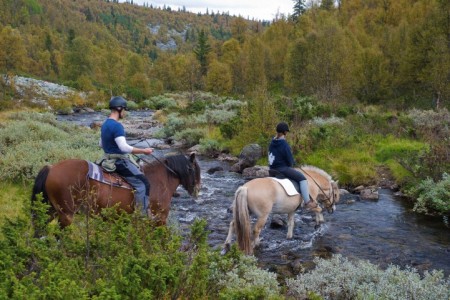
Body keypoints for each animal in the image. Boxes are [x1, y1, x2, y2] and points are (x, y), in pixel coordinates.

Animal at [31, 154, 200, 231]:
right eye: (195, 169)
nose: (197, 190)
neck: (159, 181)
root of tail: (51, 168)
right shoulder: (160, 219)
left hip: (50, 210)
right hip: (66, 214)